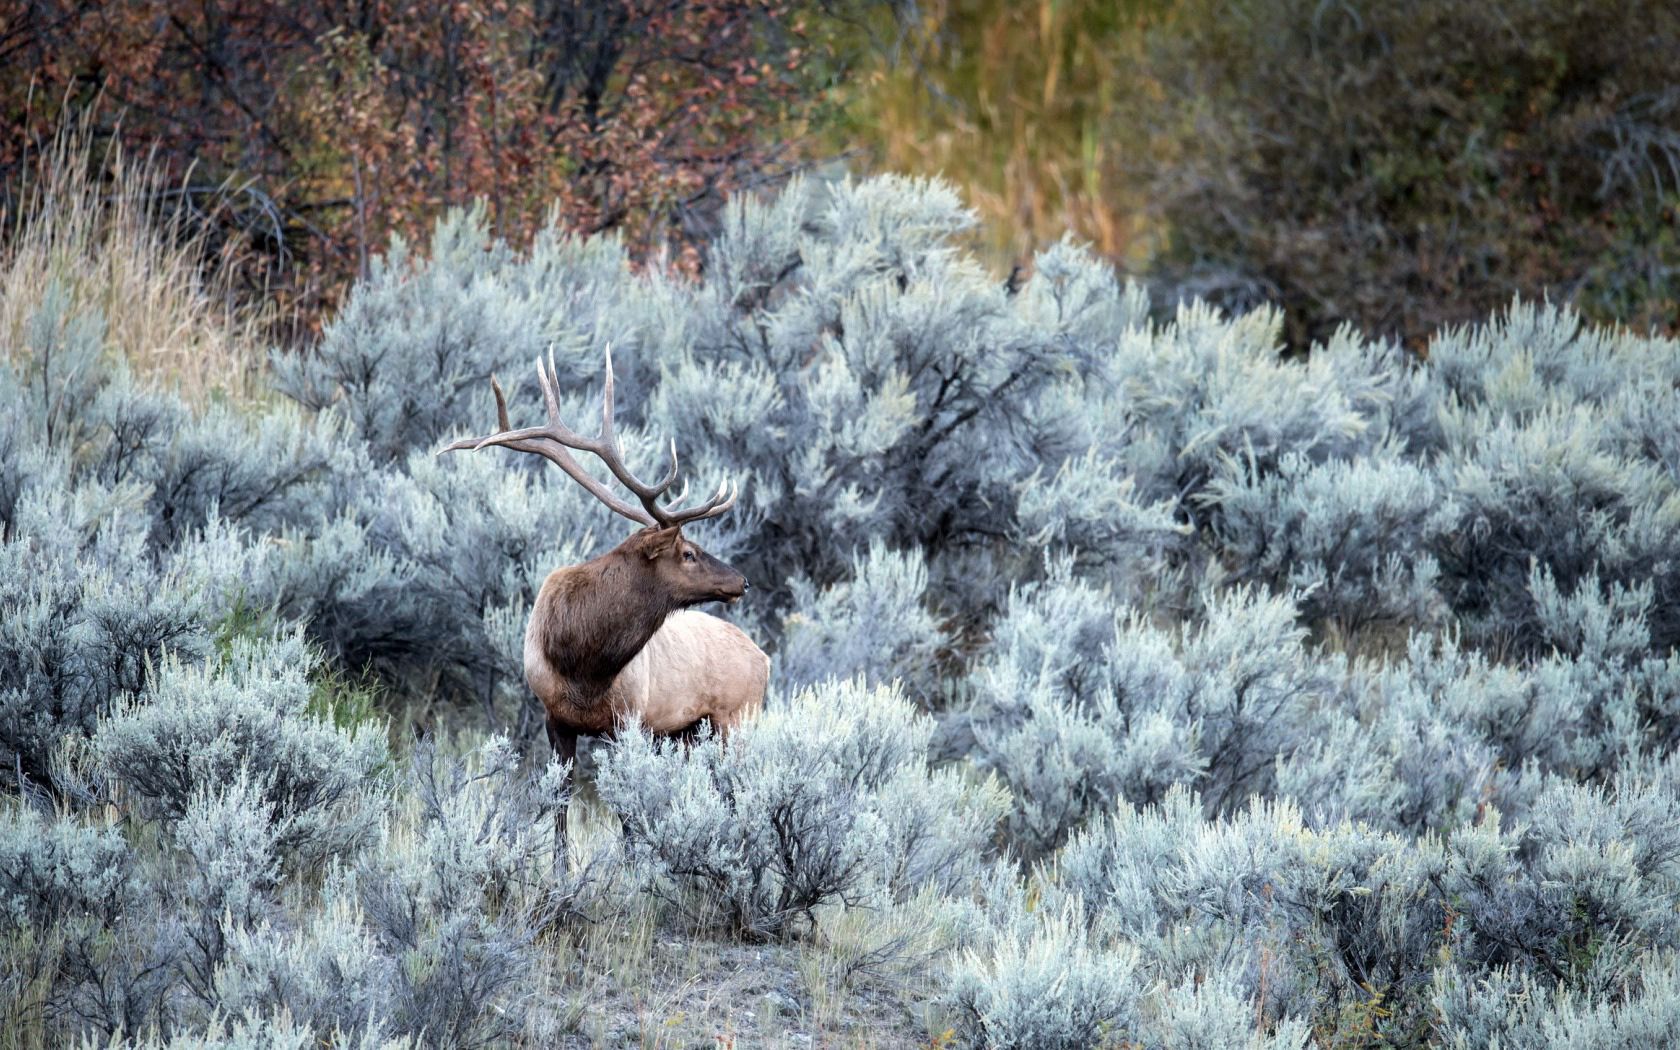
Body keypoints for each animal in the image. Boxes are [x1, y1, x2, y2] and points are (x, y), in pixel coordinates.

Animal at [440, 347, 769, 840]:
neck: (583, 663)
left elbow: (628, 815)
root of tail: (765, 659)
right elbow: (559, 806)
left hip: (737, 717)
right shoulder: (554, 719)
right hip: (691, 731)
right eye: (688, 553)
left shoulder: (627, 722)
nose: (741, 581)